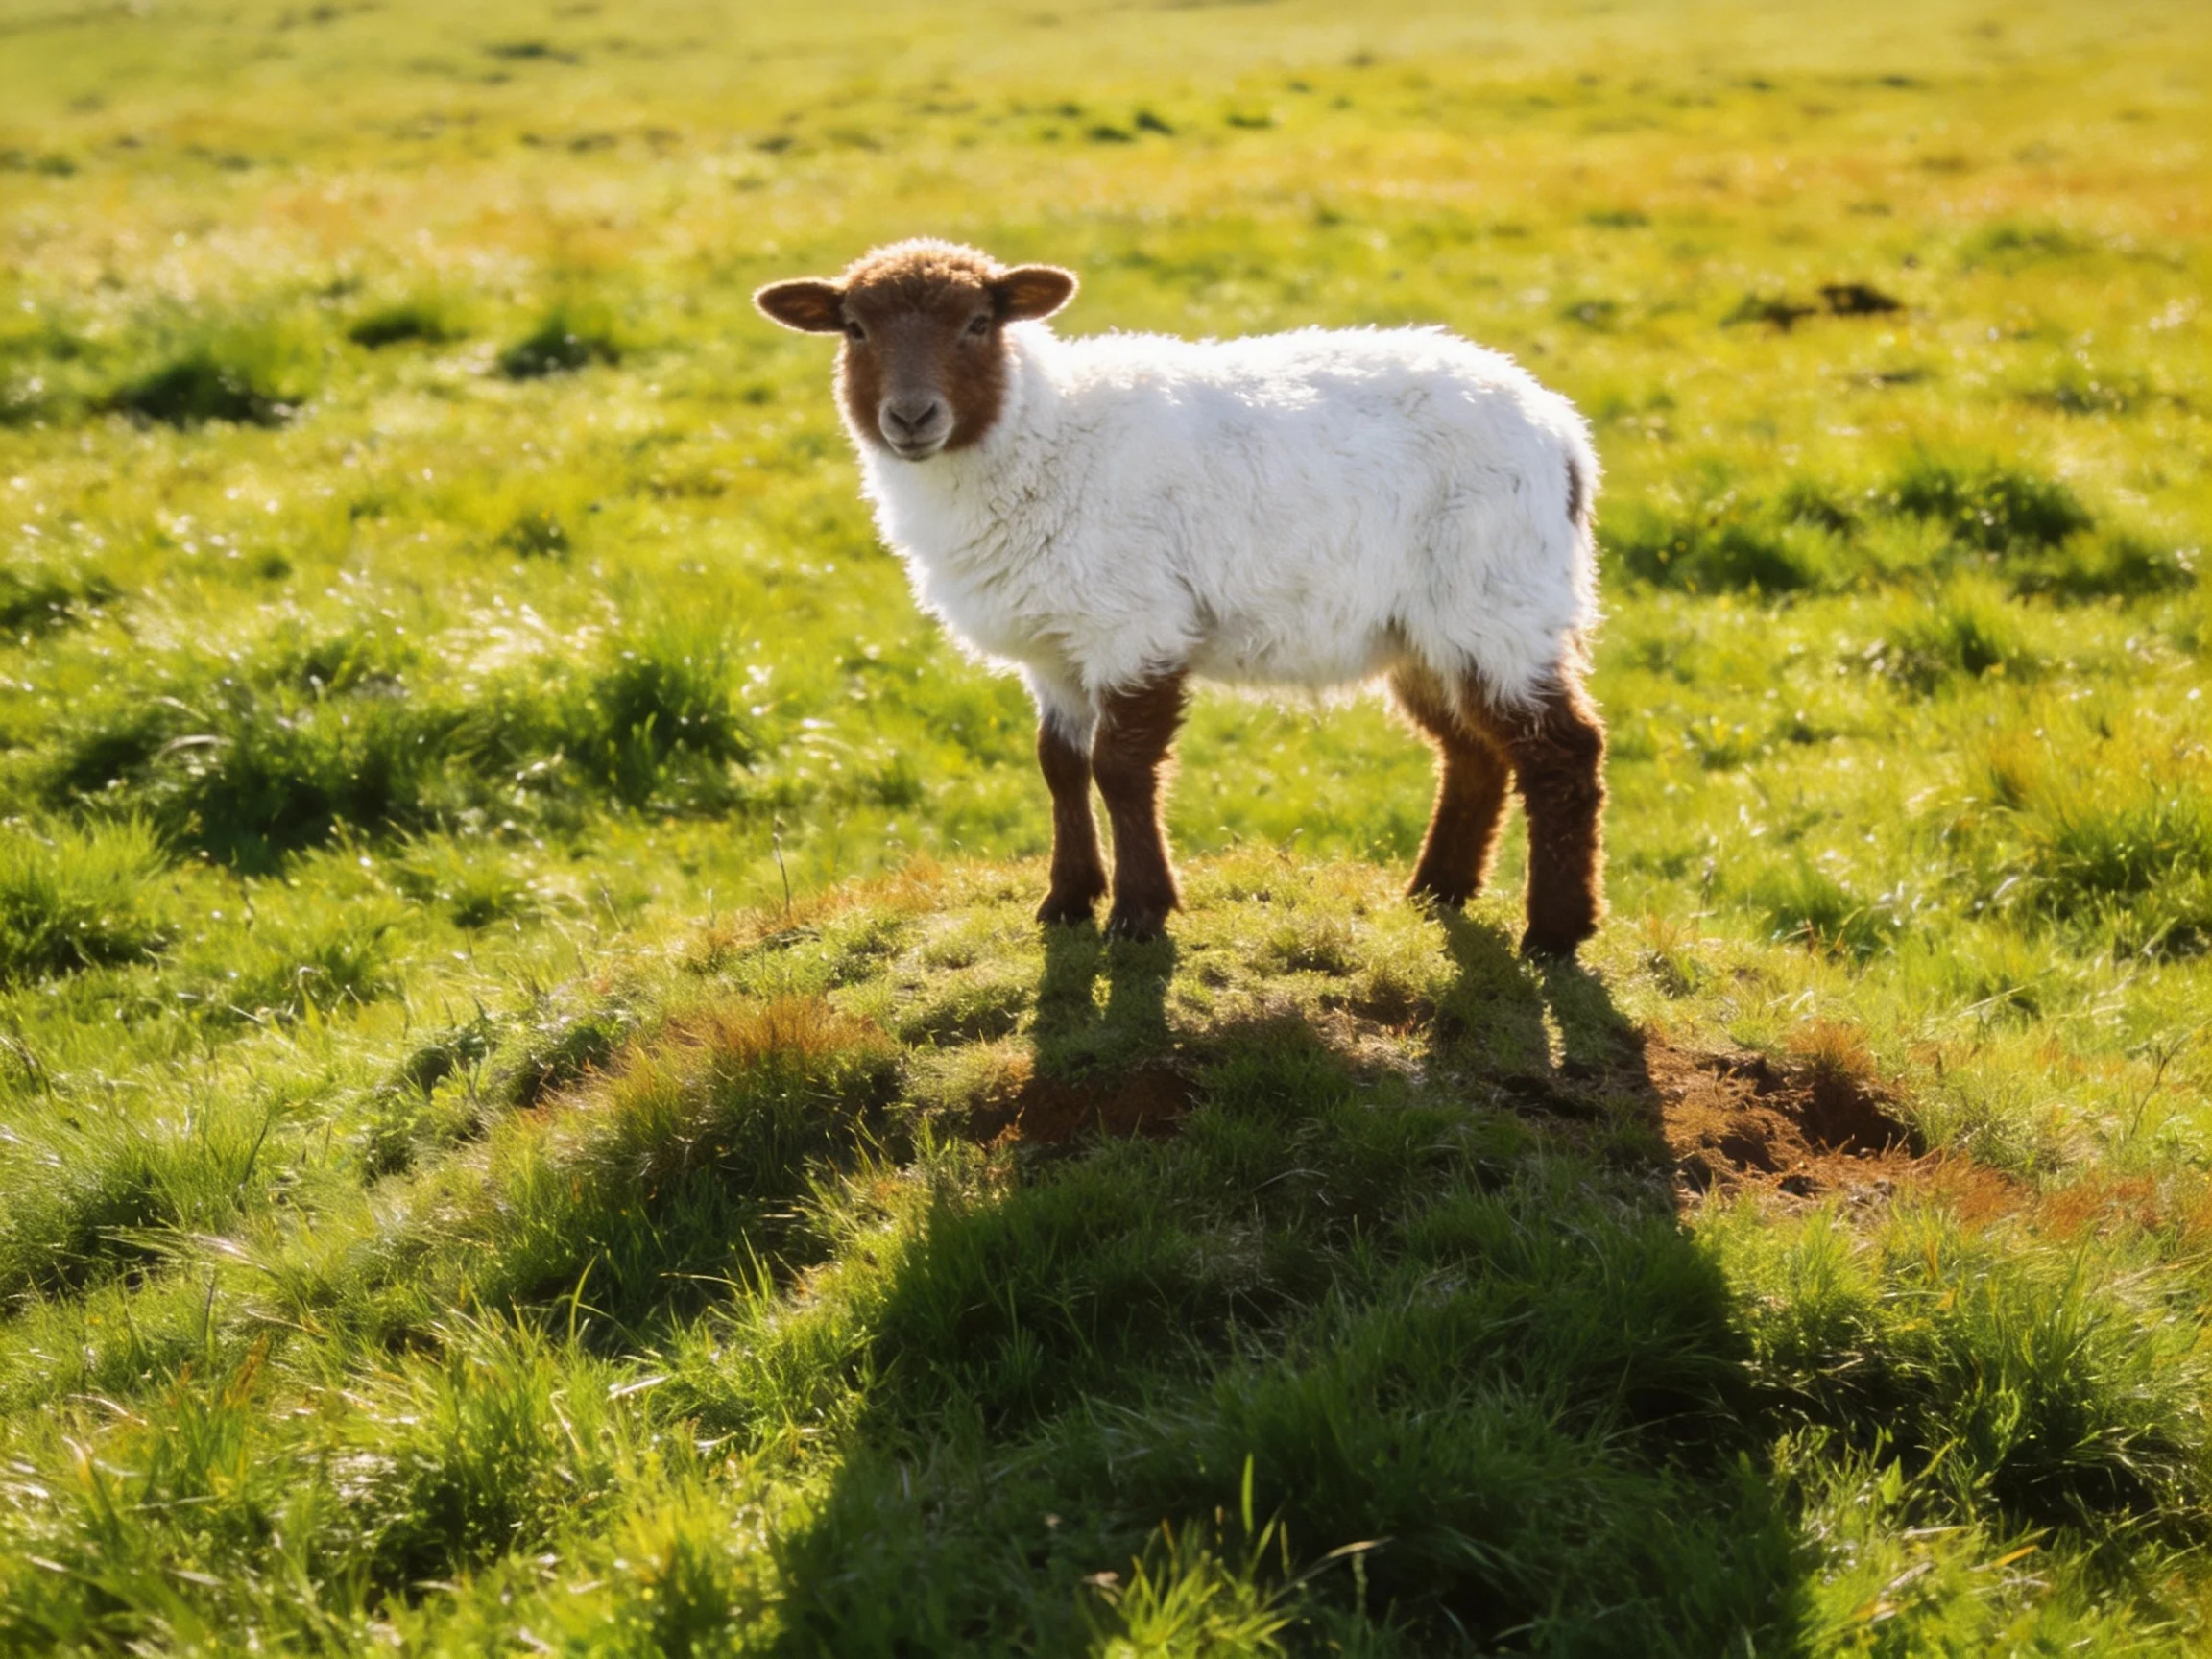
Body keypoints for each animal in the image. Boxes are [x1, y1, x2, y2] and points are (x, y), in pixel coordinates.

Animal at [755, 239, 1607, 956]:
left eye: (978, 323)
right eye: (854, 329)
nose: (911, 417)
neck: (1038, 437)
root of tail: (1563, 433)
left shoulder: (1134, 622)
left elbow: (1121, 767)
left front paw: (1138, 912)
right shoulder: (1054, 645)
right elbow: (1059, 765)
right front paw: (1067, 901)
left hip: (1499, 597)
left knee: (1562, 755)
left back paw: (1554, 932)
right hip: (1425, 627)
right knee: (1474, 753)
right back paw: (1437, 893)